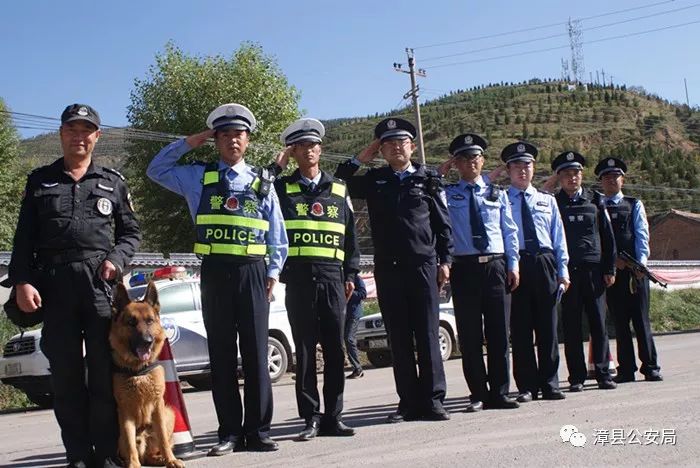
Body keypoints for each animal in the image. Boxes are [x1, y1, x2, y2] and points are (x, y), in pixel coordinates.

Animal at [110, 282, 185, 468]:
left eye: (150, 321)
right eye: (131, 322)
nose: (147, 341)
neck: (138, 369)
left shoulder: (158, 406)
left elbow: (163, 439)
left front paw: (171, 460)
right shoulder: (125, 412)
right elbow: (130, 443)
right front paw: (133, 464)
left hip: (169, 413)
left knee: (153, 451)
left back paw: (162, 458)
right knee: (136, 450)